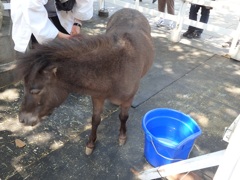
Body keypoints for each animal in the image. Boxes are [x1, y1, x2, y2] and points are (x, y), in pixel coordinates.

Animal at [17, 8, 156, 155]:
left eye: (35, 91)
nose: (22, 119)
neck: (115, 68)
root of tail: (131, 9)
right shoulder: (97, 97)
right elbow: (95, 120)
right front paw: (90, 144)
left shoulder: (127, 99)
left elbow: (123, 117)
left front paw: (122, 137)